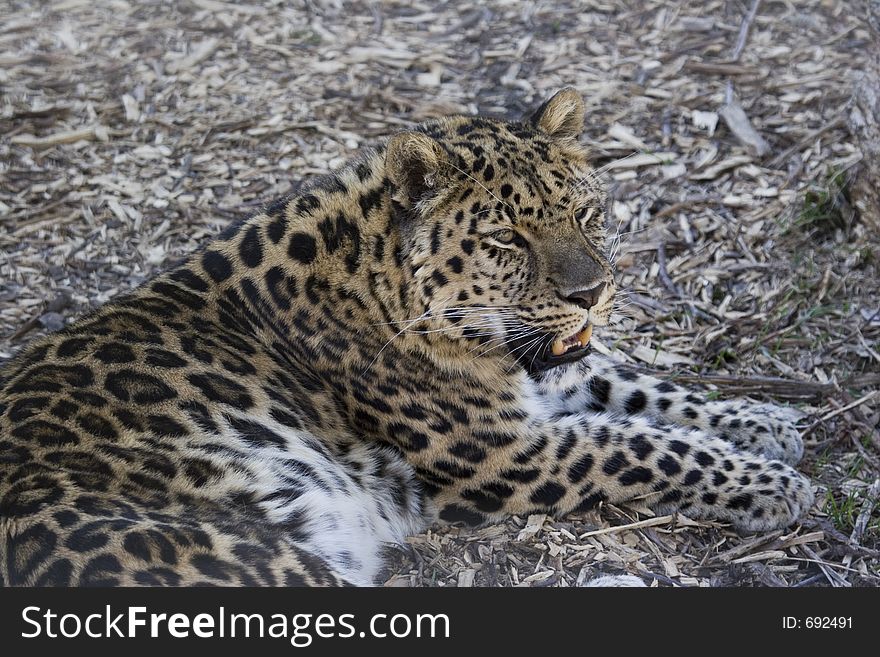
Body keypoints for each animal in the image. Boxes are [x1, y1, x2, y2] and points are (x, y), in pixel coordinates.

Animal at [0, 88, 816, 584]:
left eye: (586, 214)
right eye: (509, 238)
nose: (592, 294)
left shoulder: (541, 367)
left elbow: (642, 385)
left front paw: (767, 421)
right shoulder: (502, 451)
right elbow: (643, 446)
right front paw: (774, 485)